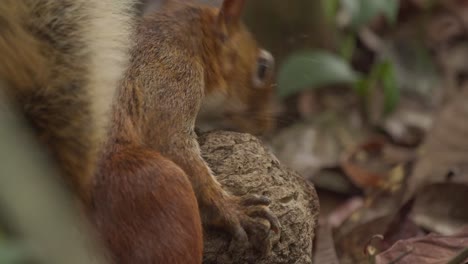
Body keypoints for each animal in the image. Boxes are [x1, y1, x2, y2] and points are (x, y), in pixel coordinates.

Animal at [0, 0, 278, 262]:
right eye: (263, 68)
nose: (266, 126)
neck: (184, 39)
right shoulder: (171, 80)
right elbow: (174, 147)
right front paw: (234, 210)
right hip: (151, 187)